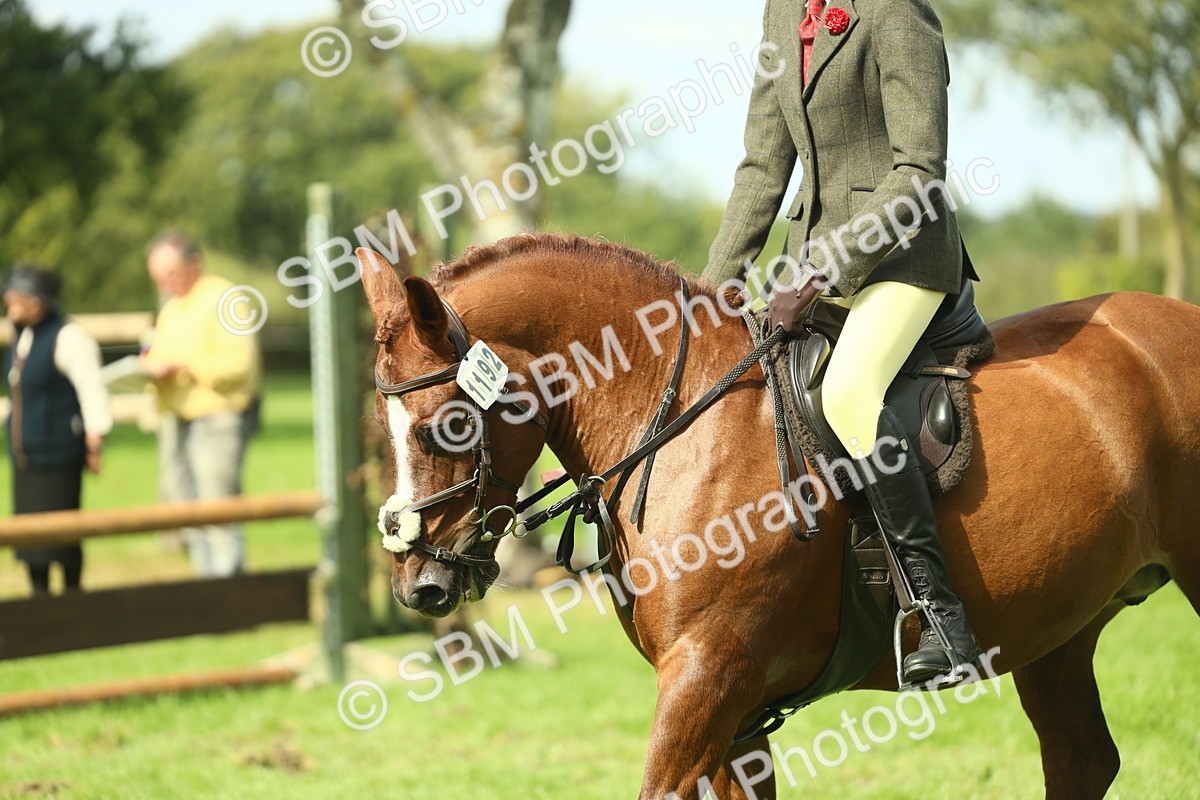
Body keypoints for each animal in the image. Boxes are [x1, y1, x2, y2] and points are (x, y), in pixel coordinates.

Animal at [354, 233, 1200, 800]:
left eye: (445, 427)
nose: (418, 584)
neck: (680, 425)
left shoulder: (706, 679)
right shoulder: (734, 713)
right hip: (1059, 624)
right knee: (1082, 759)